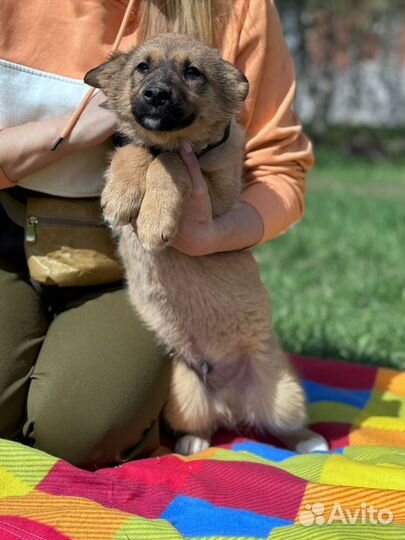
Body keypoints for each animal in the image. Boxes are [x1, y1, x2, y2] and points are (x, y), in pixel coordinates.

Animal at [83, 32, 326, 456]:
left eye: (193, 72)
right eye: (142, 67)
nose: (155, 95)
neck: (170, 139)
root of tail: (231, 402)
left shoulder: (217, 194)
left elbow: (172, 163)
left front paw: (153, 219)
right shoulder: (142, 146)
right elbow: (135, 149)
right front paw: (121, 194)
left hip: (284, 396)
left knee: (285, 425)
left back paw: (310, 441)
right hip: (185, 392)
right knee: (205, 425)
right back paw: (192, 443)